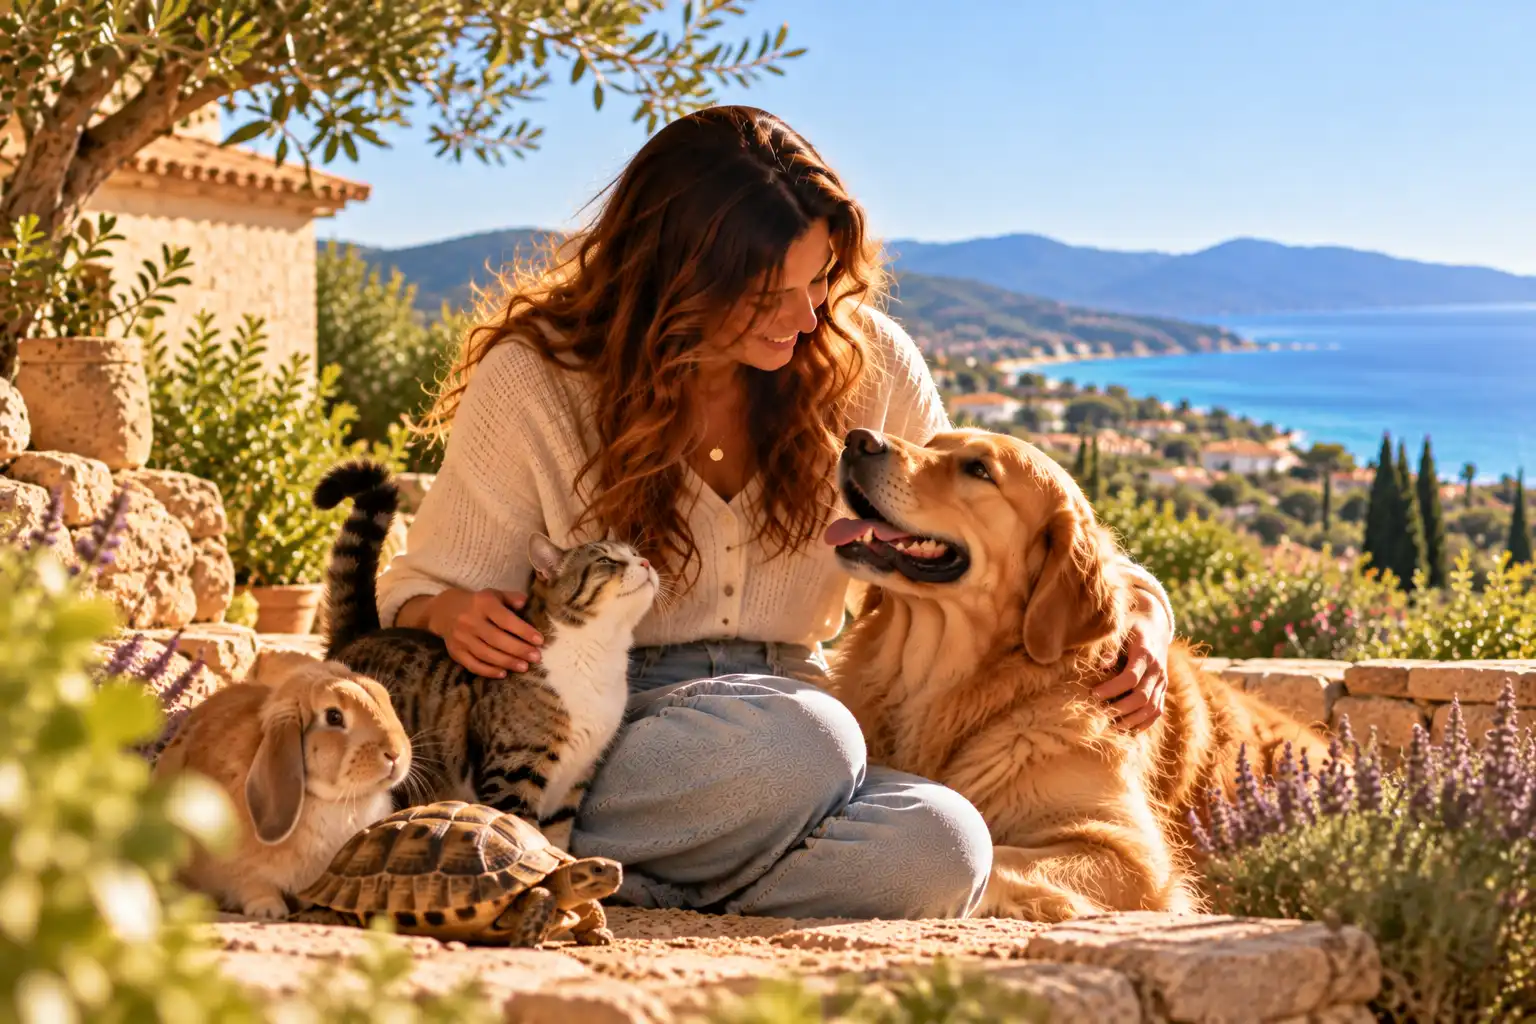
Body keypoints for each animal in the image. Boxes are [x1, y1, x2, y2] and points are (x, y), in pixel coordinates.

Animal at [153, 653, 412, 920]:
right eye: (334, 716)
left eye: (384, 700)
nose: (395, 753)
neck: (336, 800)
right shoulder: (239, 868)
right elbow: (253, 885)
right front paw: (269, 910)